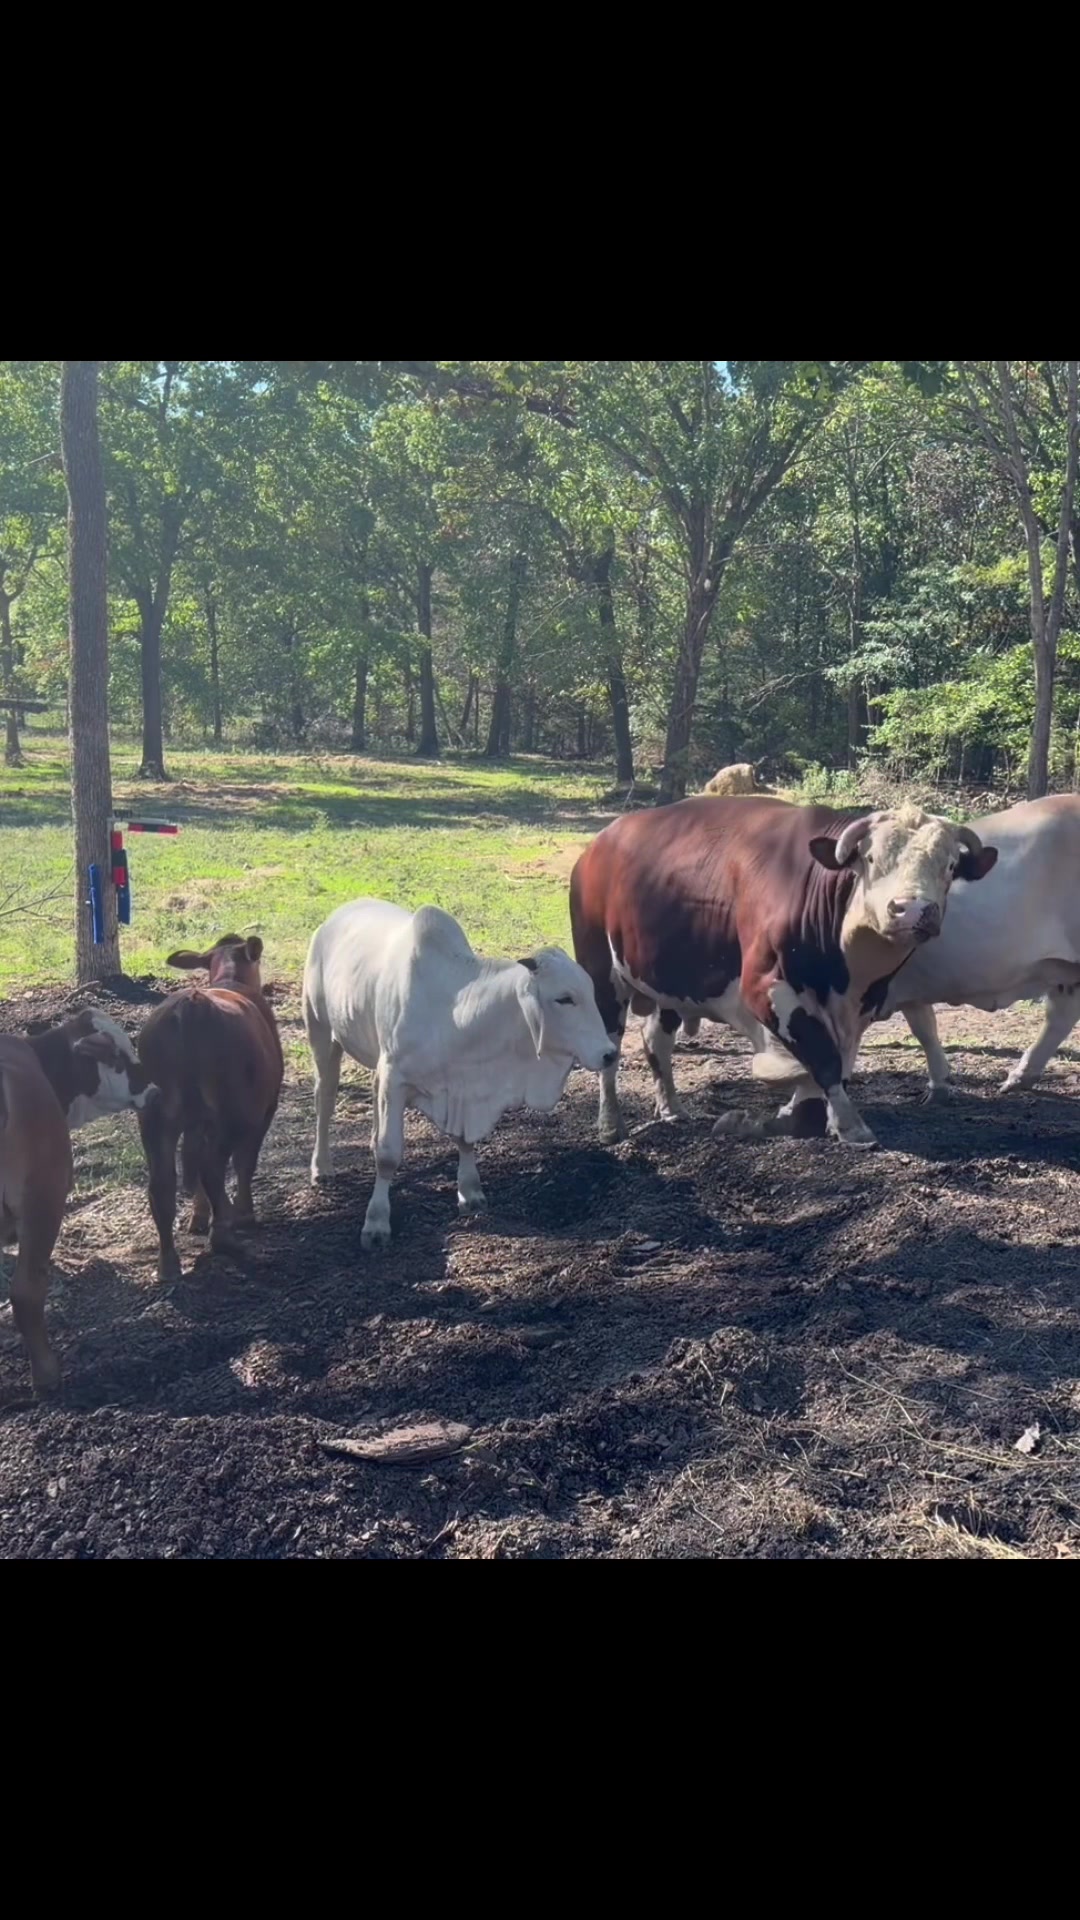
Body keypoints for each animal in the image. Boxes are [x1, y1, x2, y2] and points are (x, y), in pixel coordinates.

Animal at [137, 935, 283, 1283]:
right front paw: (243, 1212)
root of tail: (192, 1005)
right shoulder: (265, 1108)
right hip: (233, 1114)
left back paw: (168, 1263)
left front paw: (200, 1216)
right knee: (212, 1167)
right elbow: (245, 1163)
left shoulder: (197, 1123)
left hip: (153, 1116)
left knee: (163, 1183)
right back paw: (225, 1236)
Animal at [302, 898, 616, 1250]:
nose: (609, 1053)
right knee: (325, 1098)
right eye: (564, 998)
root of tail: (336, 915)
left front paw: (470, 1190)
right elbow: (388, 1154)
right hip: (320, 1030)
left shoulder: (461, 1088)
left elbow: (464, 1140)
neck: (455, 1014)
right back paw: (322, 1167)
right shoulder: (395, 1076)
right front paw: (376, 1221)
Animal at [569, 797, 998, 1151]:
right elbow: (822, 1057)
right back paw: (610, 1124)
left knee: (655, 1040)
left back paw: (672, 1108)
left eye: (950, 866)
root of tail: (599, 844)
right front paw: (848, 1125)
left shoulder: (859, 1005)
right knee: (609, 1047)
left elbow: (835, 1065)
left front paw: (815, 1118)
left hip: (671, 982)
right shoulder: (764, 988)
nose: (912, 909)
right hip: (601, 972)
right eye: (872, 859)